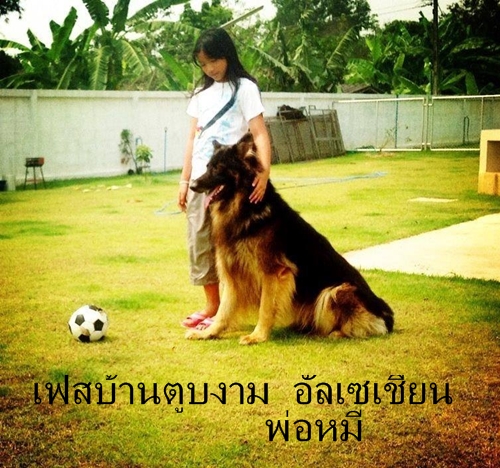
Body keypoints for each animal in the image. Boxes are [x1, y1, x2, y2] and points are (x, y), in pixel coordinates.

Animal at [186, 133, 394, 345]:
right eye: (207, 167)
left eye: (218, 168)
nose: (192, 186)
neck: (246, 210)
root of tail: (386, 314)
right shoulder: (233, 272)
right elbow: (223, 311)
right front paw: (208, 332)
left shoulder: (273, 272)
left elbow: (266, 307)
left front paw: (258, 336)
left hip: (335, 291)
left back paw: (334, 333)